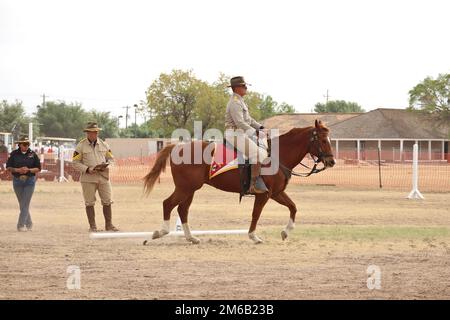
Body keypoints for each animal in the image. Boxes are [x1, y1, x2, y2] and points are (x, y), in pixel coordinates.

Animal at [143, 119, 334, 244]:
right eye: (323, 140)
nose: (332, 161)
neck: (276, 156)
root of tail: (178, 147)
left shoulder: (276, 193)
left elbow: (293, 207)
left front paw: (285, 233)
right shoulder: (264, 195)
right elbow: (256, 214)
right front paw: (254, 236)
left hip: (190, 190)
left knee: (182, 210)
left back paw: (191, 238)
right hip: (184, 188)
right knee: (168, 204)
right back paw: (160, 232)